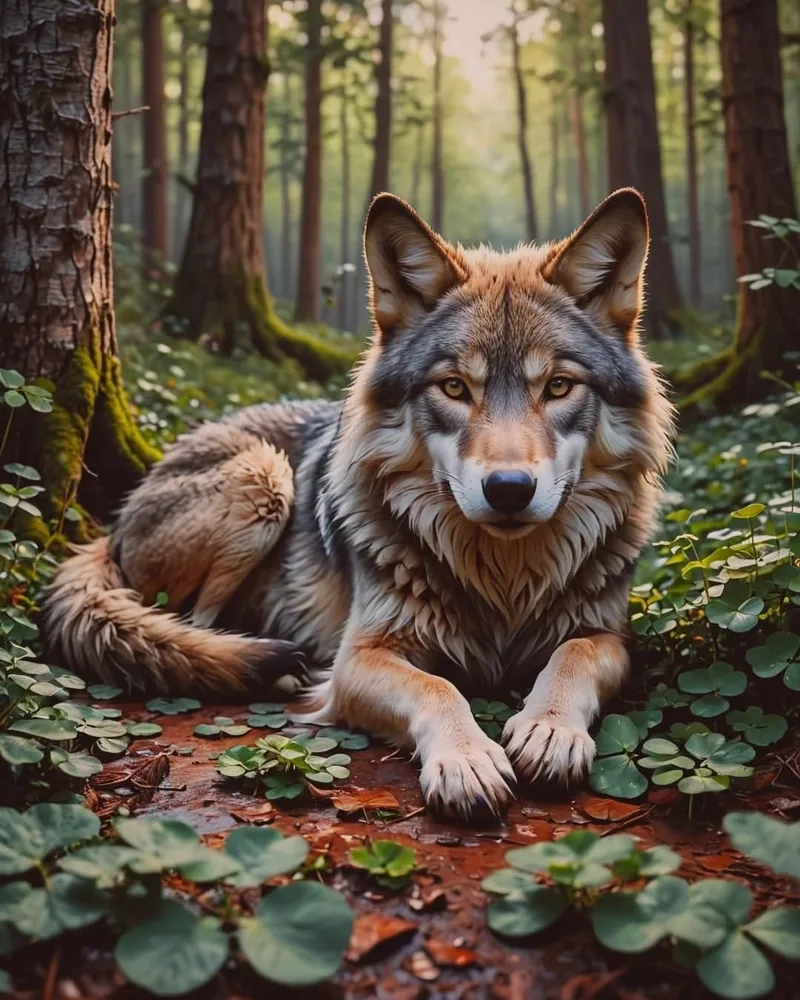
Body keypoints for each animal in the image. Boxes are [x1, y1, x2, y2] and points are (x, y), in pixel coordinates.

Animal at [43, 188, 674, 821]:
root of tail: (117, 520)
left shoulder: (612, 636)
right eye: (453, 388)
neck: (503, 582)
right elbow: (439, 686)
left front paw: (549, 728)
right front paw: (466, 759)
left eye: (559, 387)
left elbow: (572, 656)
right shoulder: (359, 658)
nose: (510, 488)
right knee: (187, 628)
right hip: (264, 479)